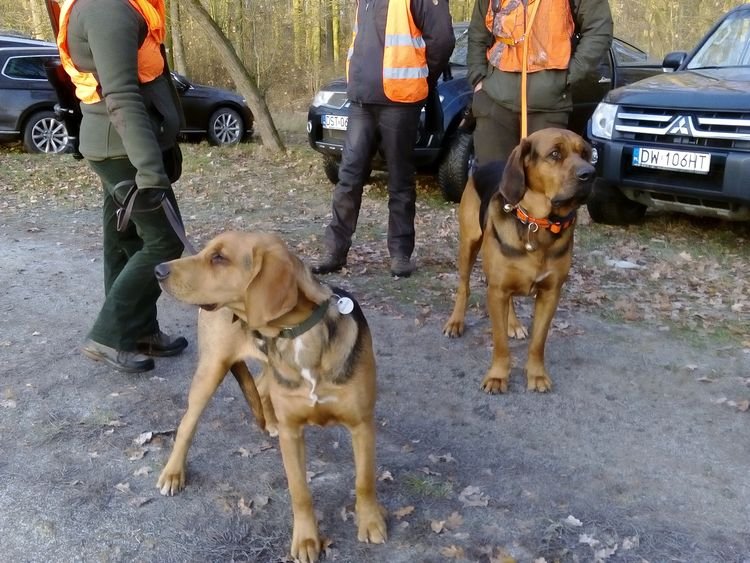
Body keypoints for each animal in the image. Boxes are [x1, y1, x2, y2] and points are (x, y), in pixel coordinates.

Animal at [154, 231, 388, 563]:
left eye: (219, 258)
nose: (158, 270)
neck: (299, 334)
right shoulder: (293, 434)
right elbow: (300, 492)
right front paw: (306, 540)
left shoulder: (362, 425)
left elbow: (364, 480)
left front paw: (370, 522)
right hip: (211, 369)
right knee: (187, 424)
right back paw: (173, 473)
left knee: (261, 387)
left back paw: (269, 420)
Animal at [444, 128, 596, 394]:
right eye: (555, 154)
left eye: (586, 154)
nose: (590, 173)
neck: (538, 223)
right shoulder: (497, 291)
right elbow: (500, 343)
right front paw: (497, 376)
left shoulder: (550, 293)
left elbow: (538, 342)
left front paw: (536, 375)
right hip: (468, 243)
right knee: (464, 286)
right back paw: (456, 322)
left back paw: (513, 324)